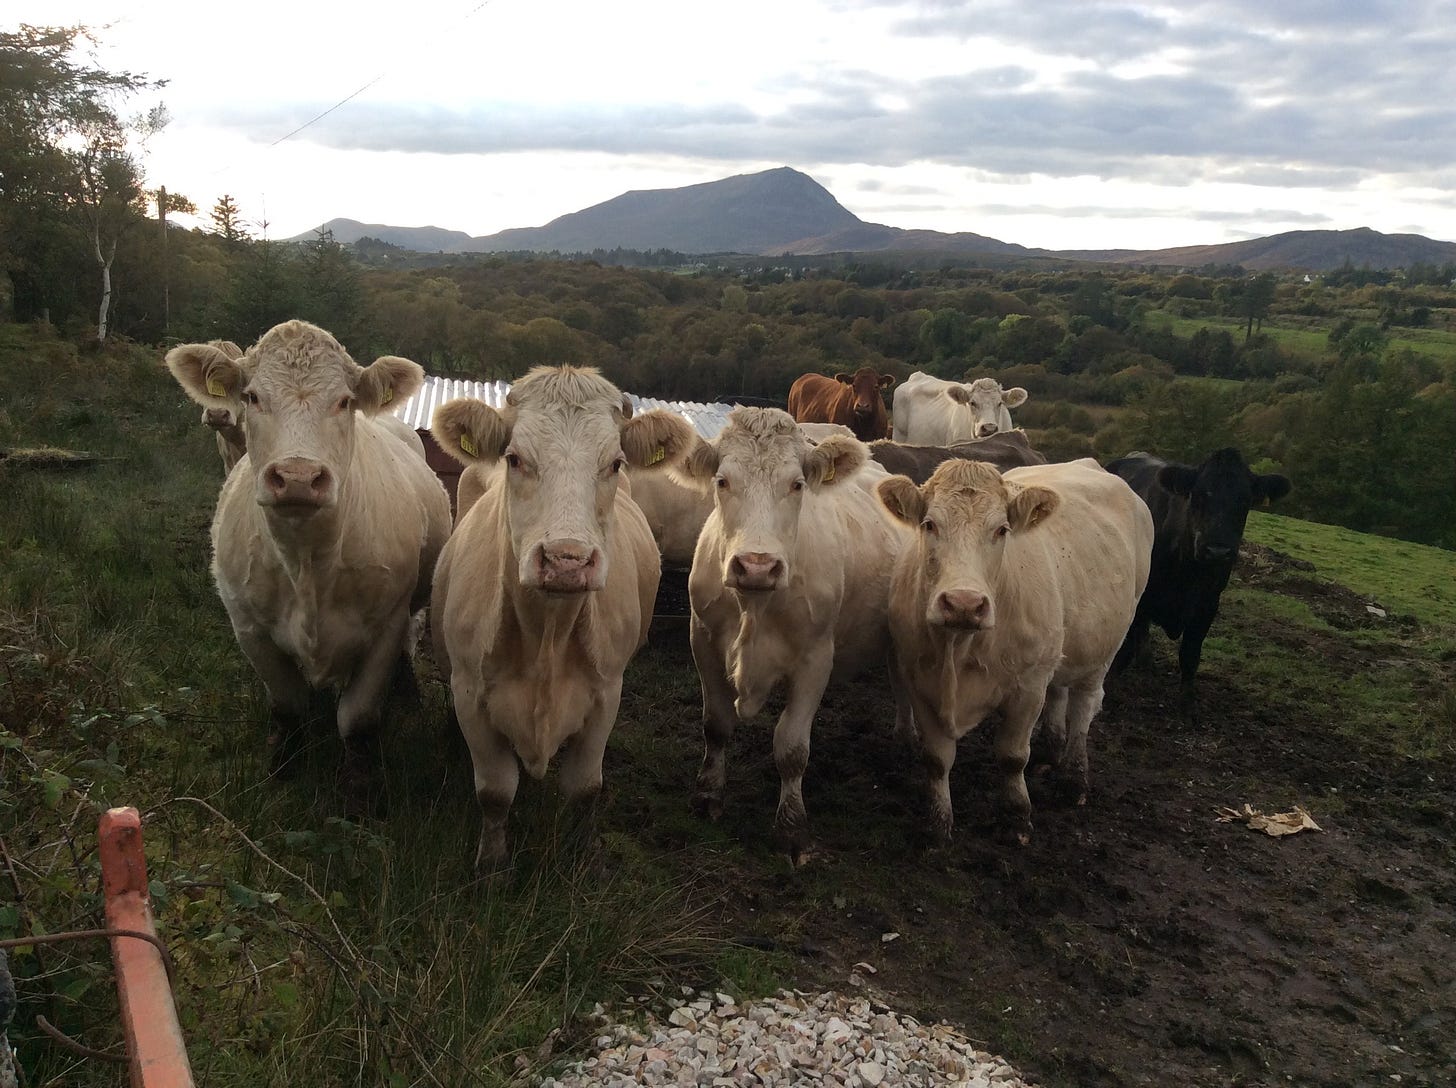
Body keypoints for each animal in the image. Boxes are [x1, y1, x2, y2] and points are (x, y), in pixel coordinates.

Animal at [164, 321, 452, 812]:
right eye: (252, 397)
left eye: (344, 401)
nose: (298, 477)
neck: (307, 562)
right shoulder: (249, 627)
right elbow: (287, 705)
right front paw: (281, 768)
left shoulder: (386, 626)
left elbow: (358, 718)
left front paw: (359, 791)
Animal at [428, 366, 697, 868]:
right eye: (514, 458)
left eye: (615, 464)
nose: (566, 560)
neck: (546, 635)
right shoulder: (470, 693)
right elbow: (495, 791)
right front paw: (491, 867)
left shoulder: (607, 693)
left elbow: (585, 788)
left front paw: (585, 855)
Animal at [676, 407, 912, 863]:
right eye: (722, 481)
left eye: (797, 484)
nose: (756, 566)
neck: (754, 606)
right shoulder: (703, 640)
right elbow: (716, 724)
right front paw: (707, 794)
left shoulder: (815, 659)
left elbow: (791, 748)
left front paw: (792, 827)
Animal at [877, 458, 1152, 845]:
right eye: (929, 524)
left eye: (1002, 530)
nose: (963, 603)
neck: (959, 650)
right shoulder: (919, 681)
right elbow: (936, 759)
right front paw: (937, 825)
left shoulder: (1029, 687)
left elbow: (1011, 756)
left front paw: (1017, 816)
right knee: (1060, 692)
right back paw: (1051, 747)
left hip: (1107, 644)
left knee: (1083, 707)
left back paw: (1074, 779)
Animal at [1107, 449, 1292, 698]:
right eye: (1198, 496)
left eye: (1245, 501)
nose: (1217, 550)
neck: (1188, 573)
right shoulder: (1141, 597)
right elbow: (1123, 653)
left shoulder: (1208, 604)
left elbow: (1190, 655)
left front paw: (1186, 699)